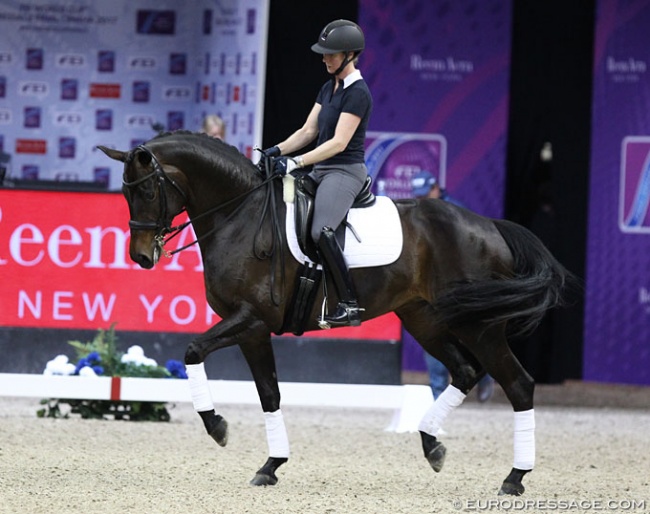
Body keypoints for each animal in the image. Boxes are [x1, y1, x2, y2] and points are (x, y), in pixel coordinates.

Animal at [98, 130, 568, 494]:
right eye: (124, 193)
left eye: (147, 190)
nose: (141, 256)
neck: (240, 214)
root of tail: (490, 226)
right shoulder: (251, 329)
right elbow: (269, 393)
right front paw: (271, 466)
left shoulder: (251, 318)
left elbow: (192, 350)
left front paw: (217, 427)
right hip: (424, 319)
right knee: (466, 372)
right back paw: (432, 445)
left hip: (478, 326)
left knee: (518, 385)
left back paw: (514, 477)